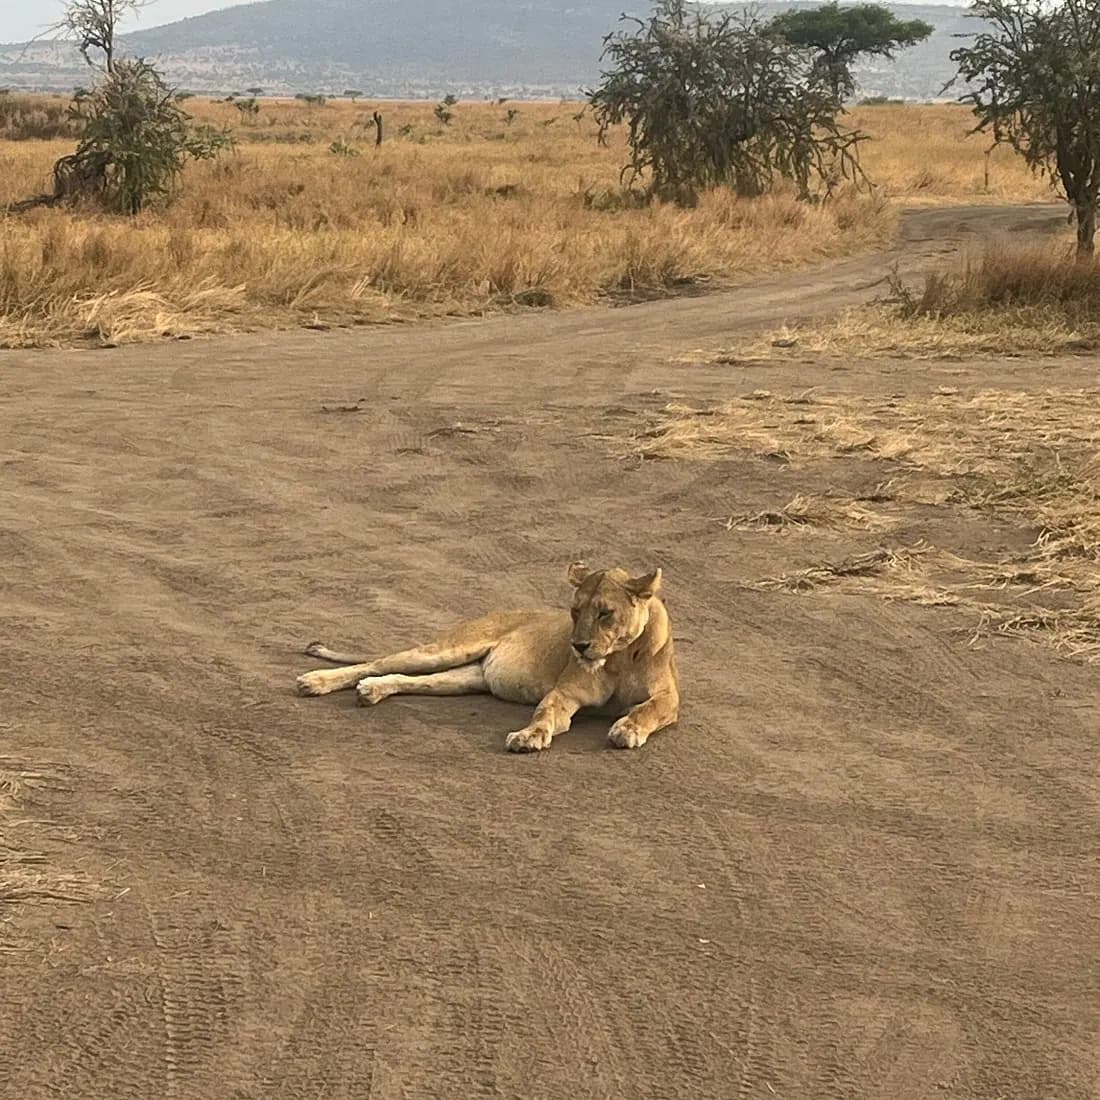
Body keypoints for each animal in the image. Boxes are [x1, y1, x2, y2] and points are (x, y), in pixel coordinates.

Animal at [295, 562, 679, 753]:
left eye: (604, 613)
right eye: (575, 610)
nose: (578, 646)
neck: (619, 657)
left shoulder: (669, 698)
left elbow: (649, 709)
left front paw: (628, 728)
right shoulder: (565, 692)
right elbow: (545, 712)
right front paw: (529, 736)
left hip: (463, 678)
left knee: (409, 679)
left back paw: (371, 690)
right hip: (448, 649)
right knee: (378, 662)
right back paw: (315, 681)